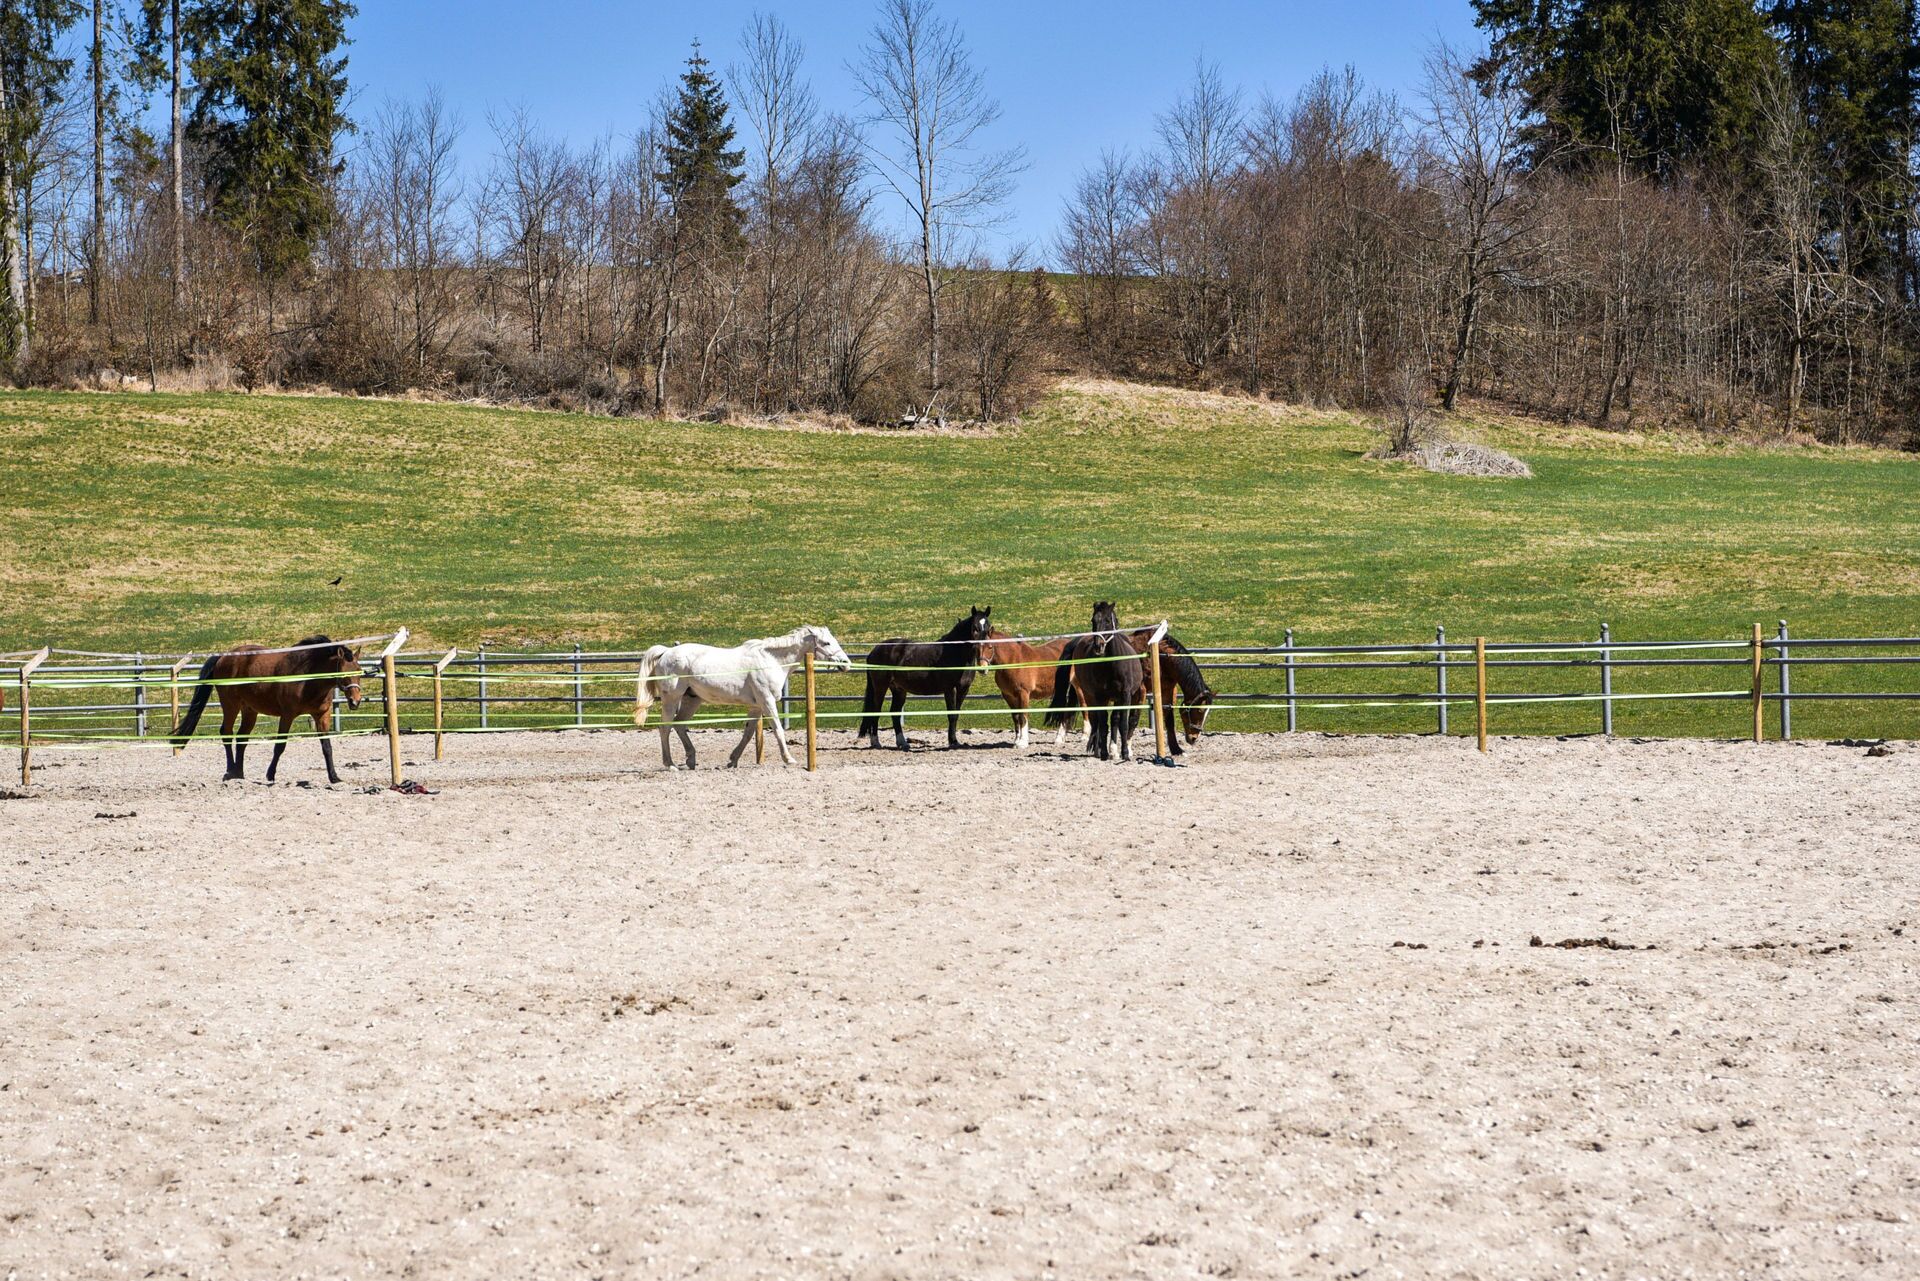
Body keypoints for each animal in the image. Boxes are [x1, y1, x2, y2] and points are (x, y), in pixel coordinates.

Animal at [170, 636, 365, 783]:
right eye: (345, 673)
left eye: (359, 671)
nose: (355, 701)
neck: (309, 677)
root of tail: (223, 657)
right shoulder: (287, 715)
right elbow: (280, 746)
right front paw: (270, 775)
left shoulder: (321, 716)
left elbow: (327, 747)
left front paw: (334, 777)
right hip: (230, 705)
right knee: (226, 733)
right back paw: (231, 771)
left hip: (249, 710)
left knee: (241, 738)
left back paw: (239, 773)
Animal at [634, 625, 851, 769]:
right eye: (826, 642)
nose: (846, 663)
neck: (771, 660)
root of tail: (666, 652)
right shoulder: (767, 701)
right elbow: (778, 730)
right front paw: (789, 759)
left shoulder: (756, 706)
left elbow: (747, 734)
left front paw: (732, 760)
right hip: (672, 699)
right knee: (665, 728)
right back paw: (670, 764)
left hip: (692, 699)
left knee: (679, 725)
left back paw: (691, 760)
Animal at [857, 606, 992, 750]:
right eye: (975, 628)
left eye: (989, 627)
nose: (984, 646)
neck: (955, 652)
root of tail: (874, 651)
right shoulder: (949, 689)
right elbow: (951, 715)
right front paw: (953, 741)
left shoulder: (963, 689)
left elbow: (956, 714)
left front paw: (954, 741)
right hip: (880, 687)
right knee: (875, 711)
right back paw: (876, 742)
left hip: (899, 690)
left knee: (895, 713)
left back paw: (903, 743)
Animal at [1045, 602, 1143, 761]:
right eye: (1093, 620)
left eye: (1108, 621)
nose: (1099, 646)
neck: (1112, 664)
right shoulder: (1099, 696)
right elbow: (1102, 724)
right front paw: (1103, 753)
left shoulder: (1125, 695)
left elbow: (1122, 724)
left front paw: (1124, 753)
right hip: (1088, 695)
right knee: (1095, 720)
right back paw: (1099, 750)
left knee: (1113, 720)